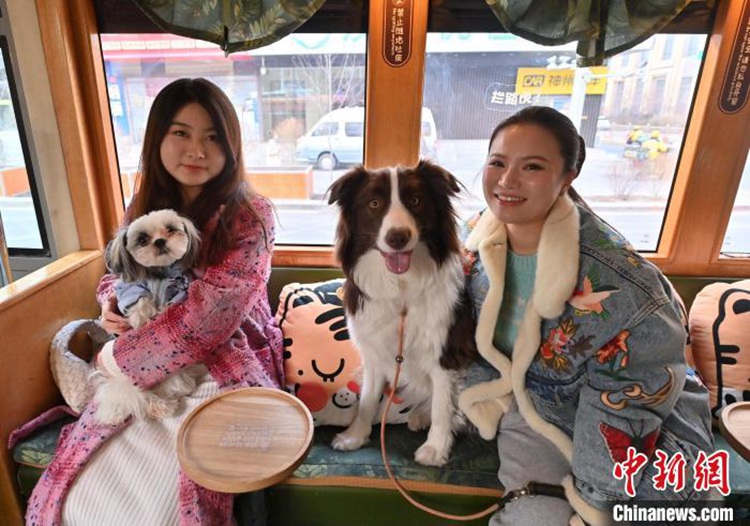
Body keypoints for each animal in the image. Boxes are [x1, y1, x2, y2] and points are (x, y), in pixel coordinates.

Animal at [94, 208, 206, 426]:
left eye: (170, 229)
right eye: (142, 239)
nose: (160, 241)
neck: (159, 274)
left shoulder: (181, 288)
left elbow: (174, 303)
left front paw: (161, 312)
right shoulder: (129, 287)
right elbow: (139, 298)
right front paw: (141, 316)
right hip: (131, 382)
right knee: (138, 397)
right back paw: (157, 406)